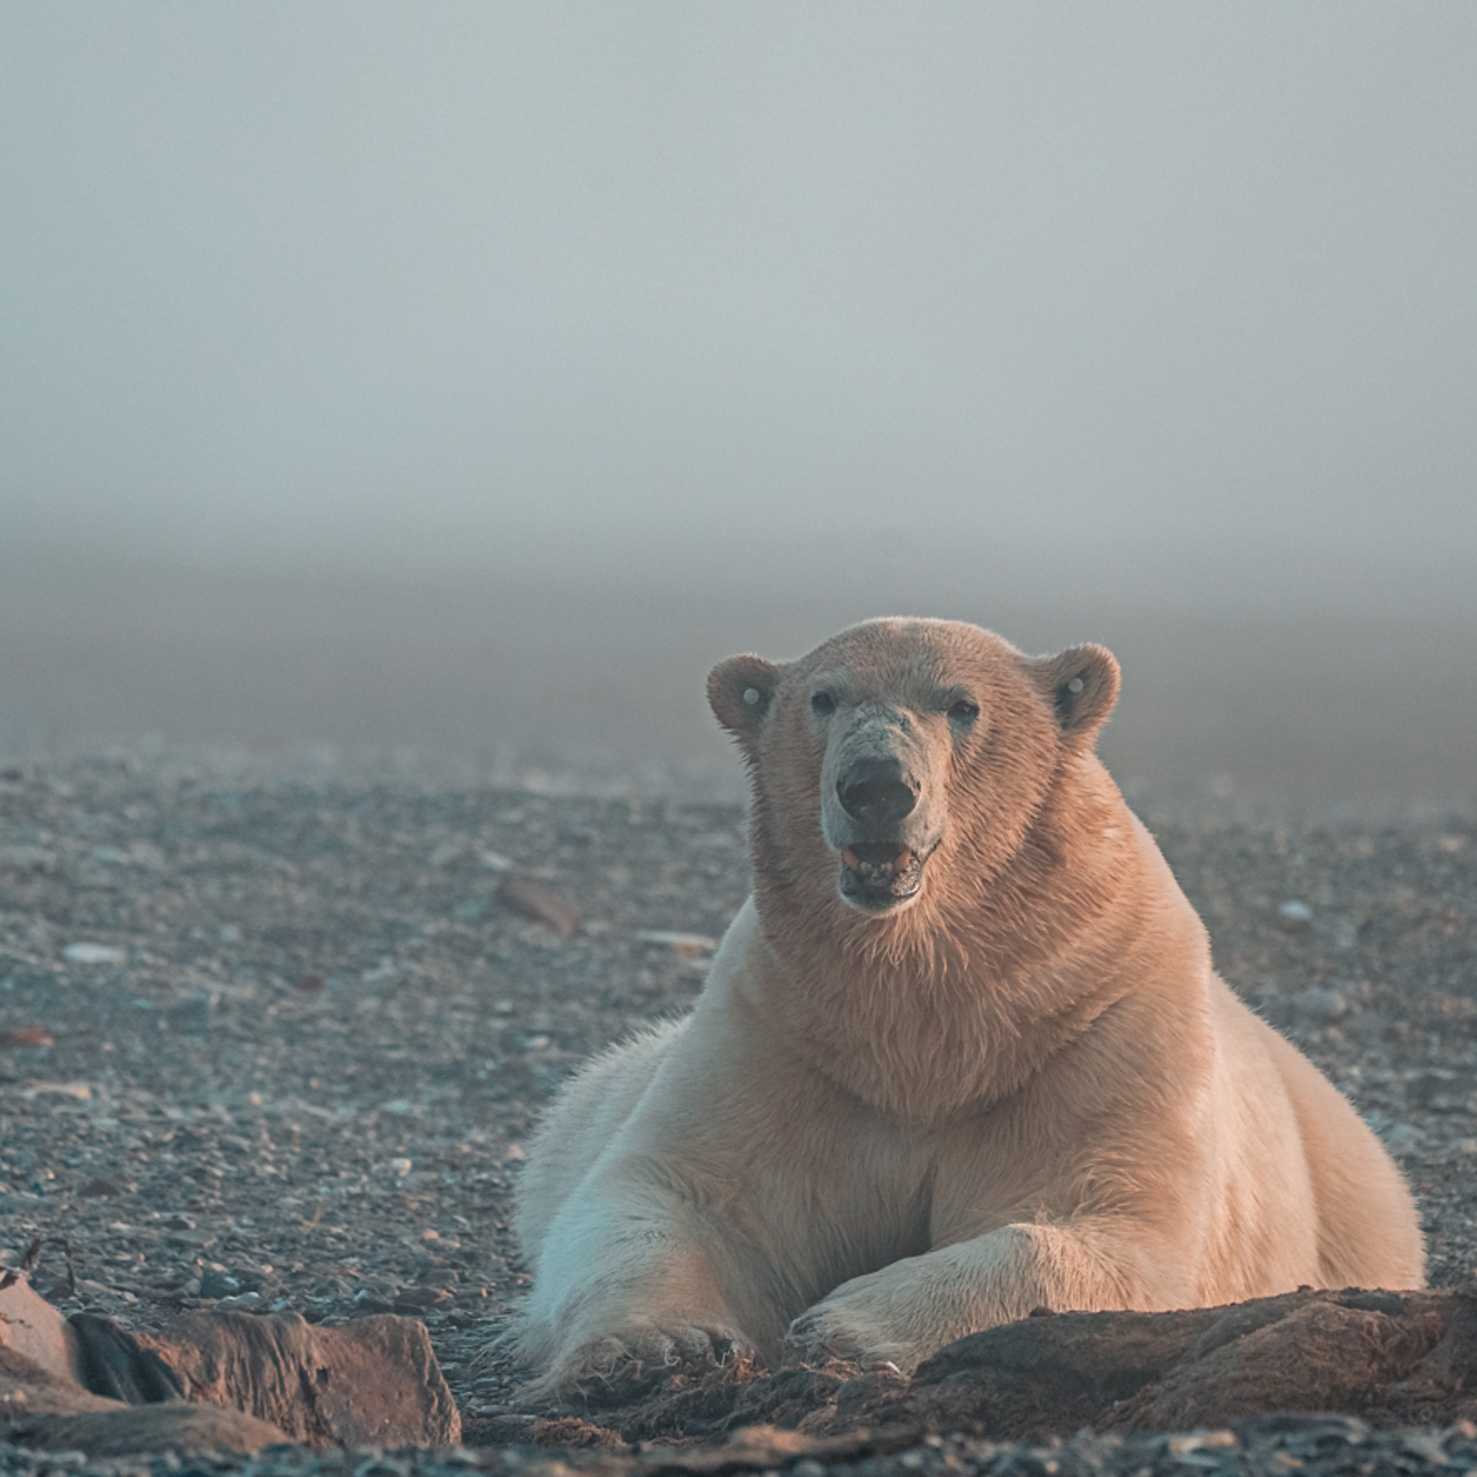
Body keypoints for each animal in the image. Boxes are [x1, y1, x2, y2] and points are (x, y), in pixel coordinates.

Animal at [506, 616, 1425, 1400]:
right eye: (822, 697)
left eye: (961, 703)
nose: (876, 784)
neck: (936, 1019)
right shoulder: (776, 1029)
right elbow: (676, 1191)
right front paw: (656, 1347)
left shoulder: (1103, 1026)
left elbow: (1113, 1226)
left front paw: (841, 1324)